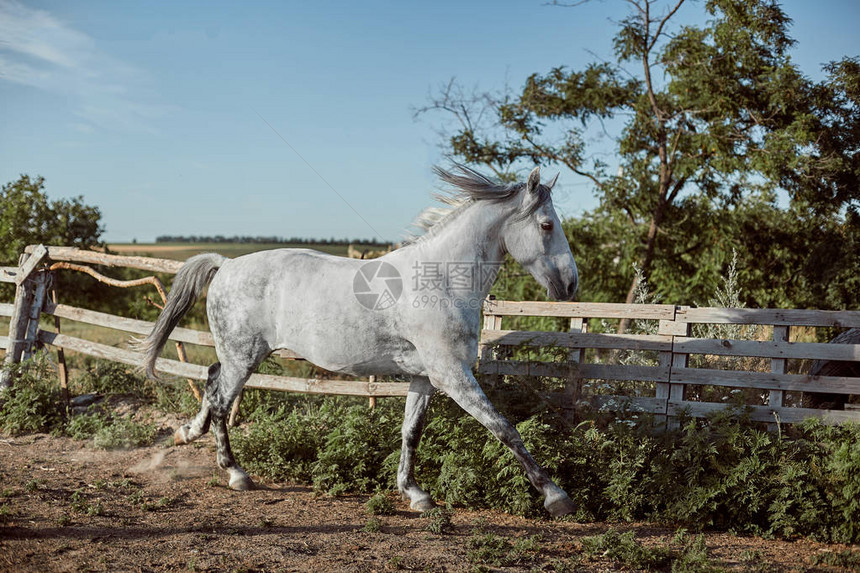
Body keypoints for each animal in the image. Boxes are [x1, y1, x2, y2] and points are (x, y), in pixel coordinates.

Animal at [139, 164, 576, 512]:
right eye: (547, 225)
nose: (570, 285)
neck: (441, 281)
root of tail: (226, 264)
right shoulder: (453, 375)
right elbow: (504, 428)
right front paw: (557, 497)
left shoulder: (425, 377)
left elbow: (411, 432)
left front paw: (415, 494)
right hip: (243, 357)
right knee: (218, 400)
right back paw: (236, 473)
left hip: (238, 356)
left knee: (211, 381)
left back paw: (187, 434)